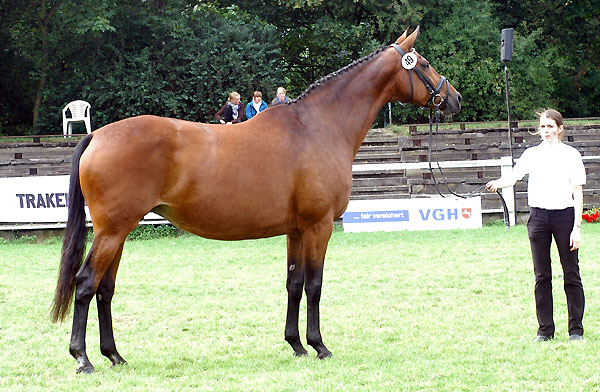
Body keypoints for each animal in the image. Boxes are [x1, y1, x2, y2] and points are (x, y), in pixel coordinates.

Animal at [52, 26, 464, 372]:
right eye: (424, 64)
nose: (454, 99)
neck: (319, 127)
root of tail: (98, 135)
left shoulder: (296, 230)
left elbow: (294, 284)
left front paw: (296, 345)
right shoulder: (319, 226)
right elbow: (315, 285)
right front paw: (320, 346)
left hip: (119, 232)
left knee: (105, 290)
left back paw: (114, 356)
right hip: (112, 232)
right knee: (86, 284)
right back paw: (83, 358)